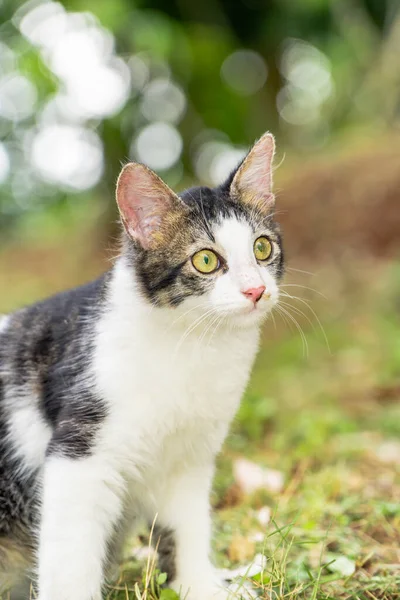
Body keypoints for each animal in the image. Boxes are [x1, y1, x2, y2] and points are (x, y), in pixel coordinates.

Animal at [0, 132, 284, 600]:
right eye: (206, 260)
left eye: (262, 248)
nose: (256, 290)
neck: (191, 346)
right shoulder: (79, 454)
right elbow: (70, 556)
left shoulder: (191, 457)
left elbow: (187, 524)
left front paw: (199, 584)